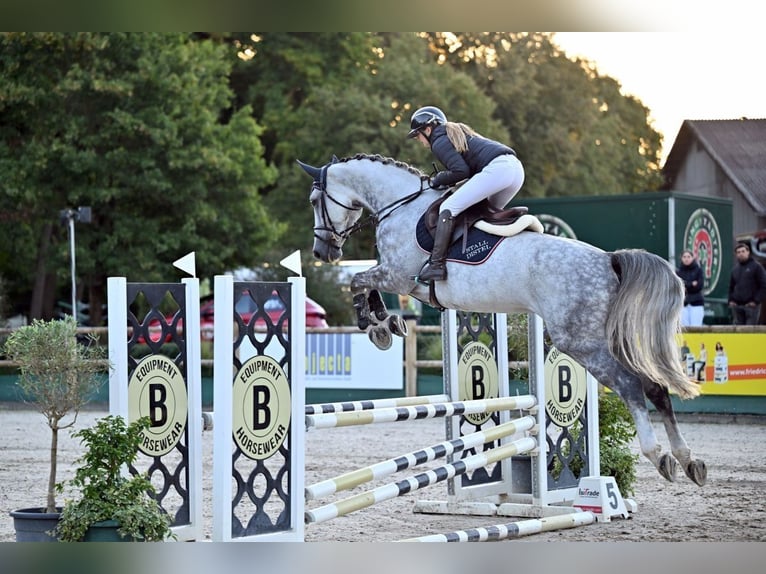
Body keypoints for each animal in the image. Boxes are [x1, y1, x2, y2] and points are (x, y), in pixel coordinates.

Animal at [297, 153, 707, 487]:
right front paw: (388, 323)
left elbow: (357, 281)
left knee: (631, 386)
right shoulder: (398, 280)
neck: (399, 206)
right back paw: (687, 461)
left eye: (316, 201)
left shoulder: (397, 276)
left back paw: (659, 456)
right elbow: (364, 283)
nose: (321, 251)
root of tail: (609, 260)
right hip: (602, 339)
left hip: (579, 342)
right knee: (655, 387)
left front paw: (378, 326)